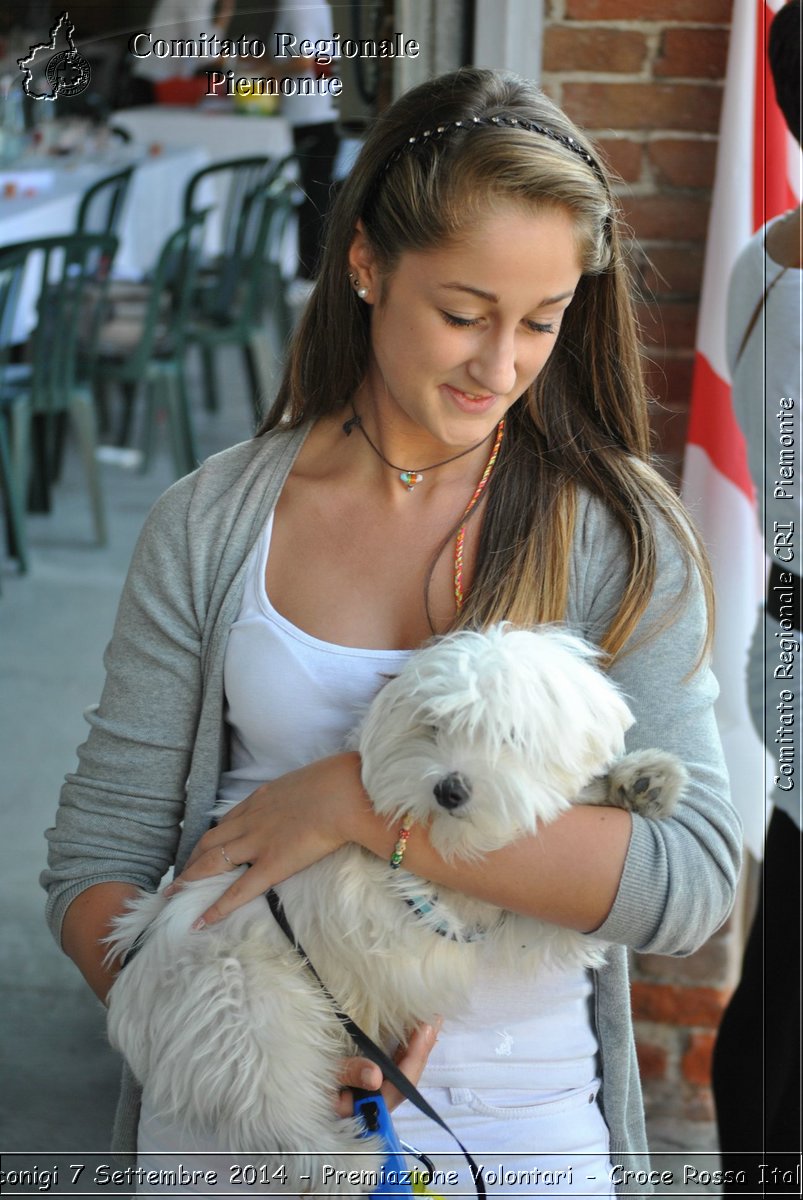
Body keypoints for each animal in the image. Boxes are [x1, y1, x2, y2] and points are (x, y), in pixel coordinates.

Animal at [105, 628, 681, 1190]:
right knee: (280, 1118)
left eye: (511, 737)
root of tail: (129, 1004)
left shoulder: (516, 912)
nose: (449, 789)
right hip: (250, 1015)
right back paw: (351, 1162)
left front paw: (638, 782)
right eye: (434, 727)